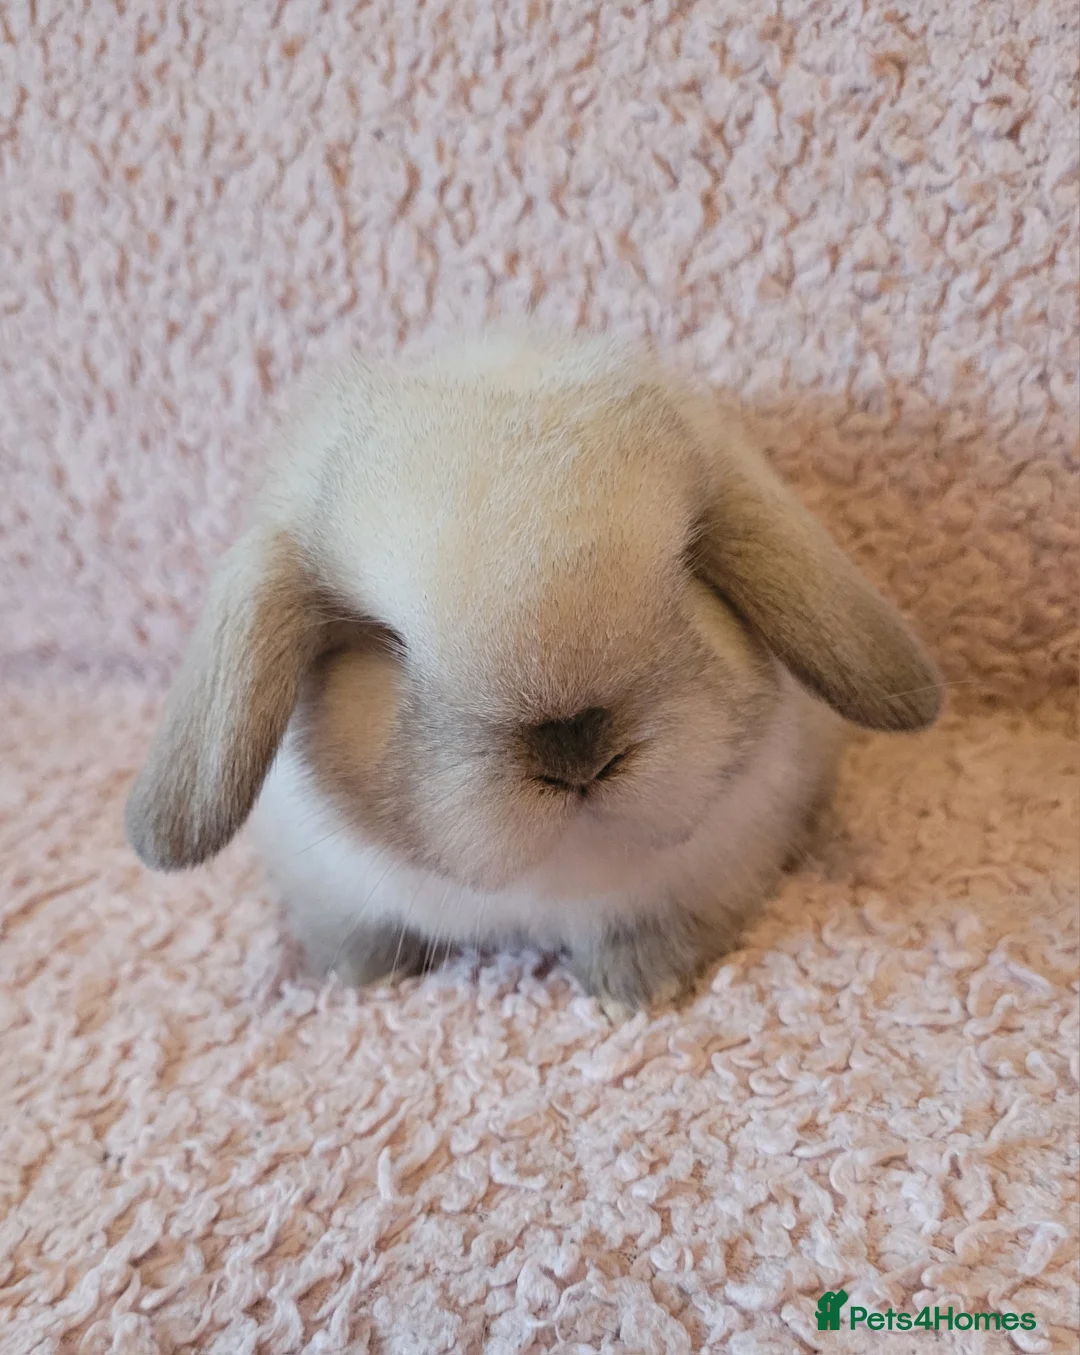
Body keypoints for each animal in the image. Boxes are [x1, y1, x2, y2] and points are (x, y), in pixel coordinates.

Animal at [126, 327, 943, 1015]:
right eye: (385, 640)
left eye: (685, 567)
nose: (577, 748)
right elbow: (356, 933)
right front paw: (359, 978)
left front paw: (637, 991)